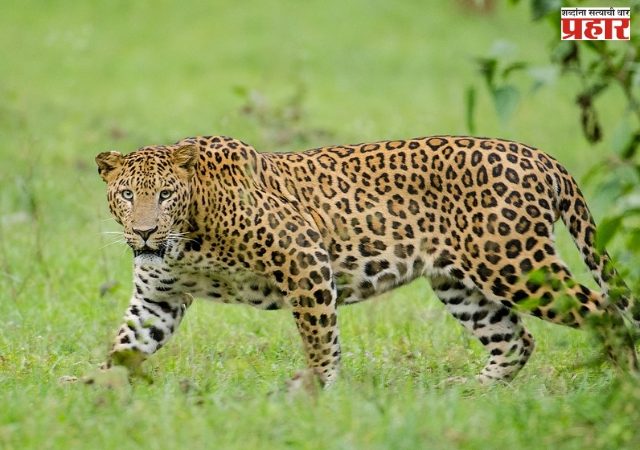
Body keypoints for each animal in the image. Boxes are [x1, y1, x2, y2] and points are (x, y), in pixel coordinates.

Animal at [95, 135, 640, 387]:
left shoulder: (304, 256)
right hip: (460, 283)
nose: (144, 231)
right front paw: (93, 394)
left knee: (604, 313)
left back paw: (622, 387)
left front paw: (315, 392)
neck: (187, 239)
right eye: (127, 194)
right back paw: (470, 392)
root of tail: (540, 156)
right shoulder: (158, 299)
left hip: (514, 264)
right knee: (516, 339)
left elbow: (320, 338)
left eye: (166, 195)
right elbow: (125, 345)